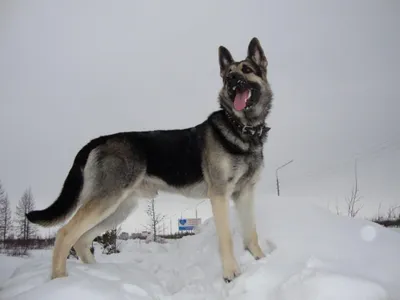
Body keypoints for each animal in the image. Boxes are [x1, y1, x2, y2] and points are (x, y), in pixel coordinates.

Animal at [26, 36, 274, 282]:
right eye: (228, 74)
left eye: (246, 70)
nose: (232, 80)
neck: (242, 129)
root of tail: (99, 140)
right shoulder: (220, 195)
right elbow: (226, 238)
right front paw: (231, 273)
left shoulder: (245, 193)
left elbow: (251, 232)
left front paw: (261, 260)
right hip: (107, 200)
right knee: (65, 233)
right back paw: (60, 279)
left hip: (119, 208)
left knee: (82, 239)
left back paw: (99, 276)